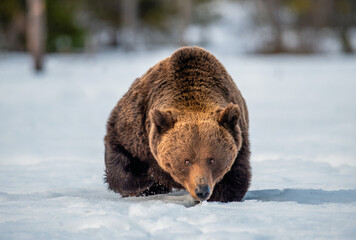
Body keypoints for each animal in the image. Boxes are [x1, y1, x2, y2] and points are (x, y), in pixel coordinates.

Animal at [104, 45, 252, 202]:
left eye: (212, 160)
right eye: (186, 161)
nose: (202, 190)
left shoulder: (239, 140)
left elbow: (234, 178)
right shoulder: (137, 128)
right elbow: (120, 155)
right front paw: (146, 180)